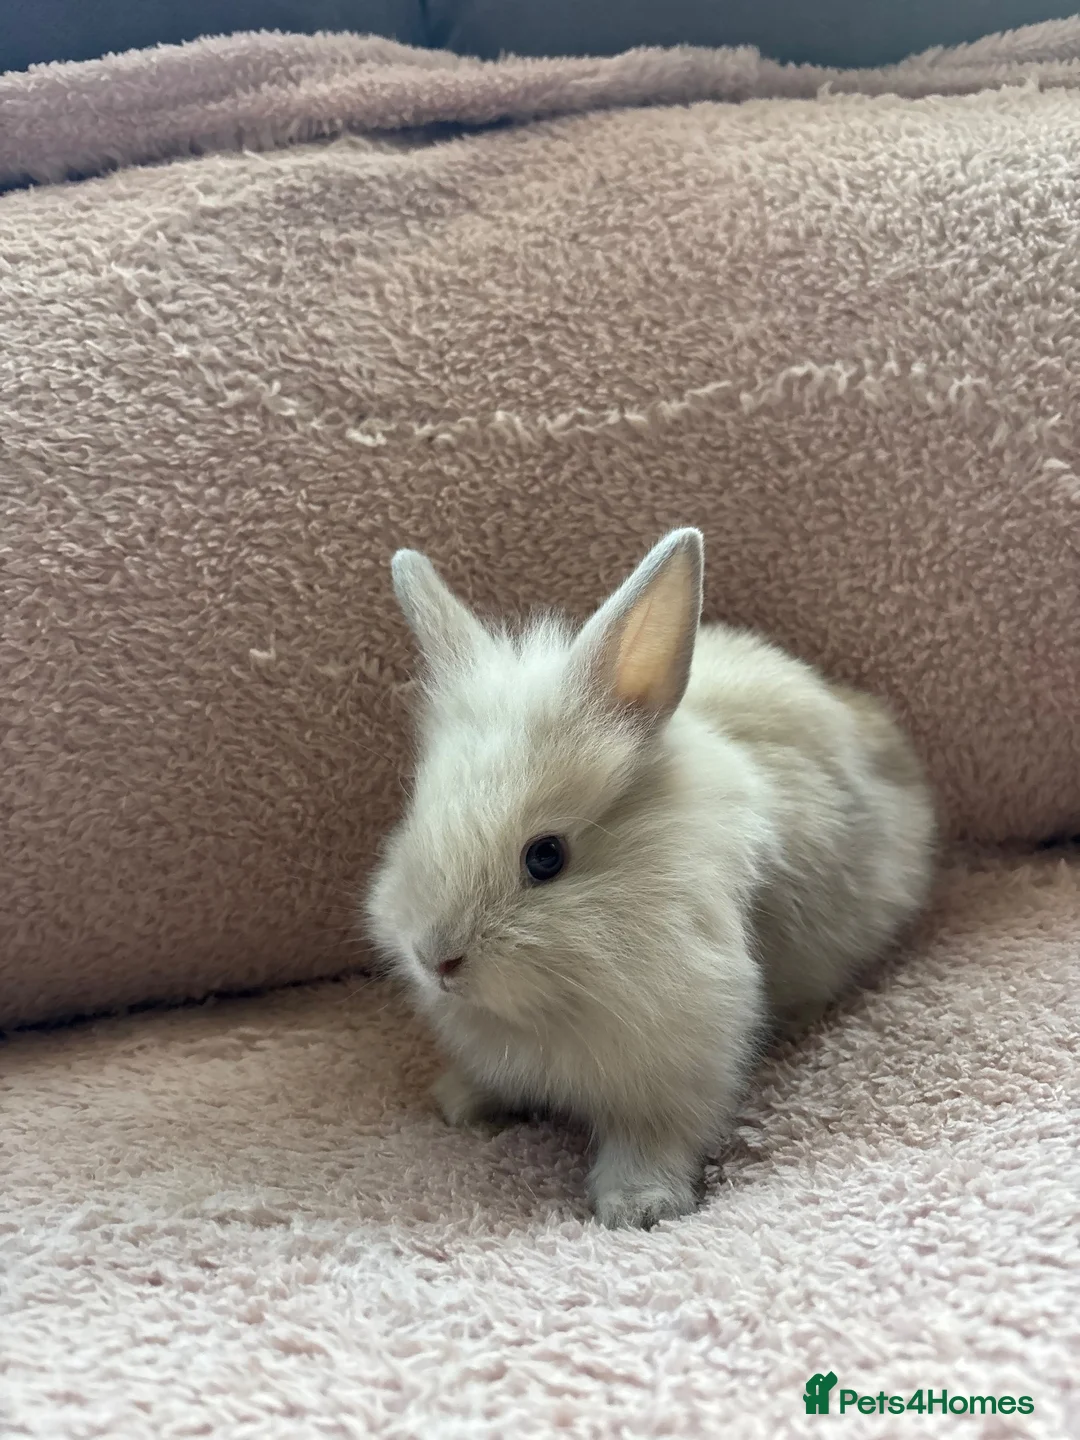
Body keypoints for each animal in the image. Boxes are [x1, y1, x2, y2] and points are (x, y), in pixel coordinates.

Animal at [366, 528, 936, 1229]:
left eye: (546, 857)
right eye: (415, 816)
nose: (437, 961)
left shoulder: (677, 1066)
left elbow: (653, 1137)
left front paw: (639, 1207)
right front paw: (459, 1101)